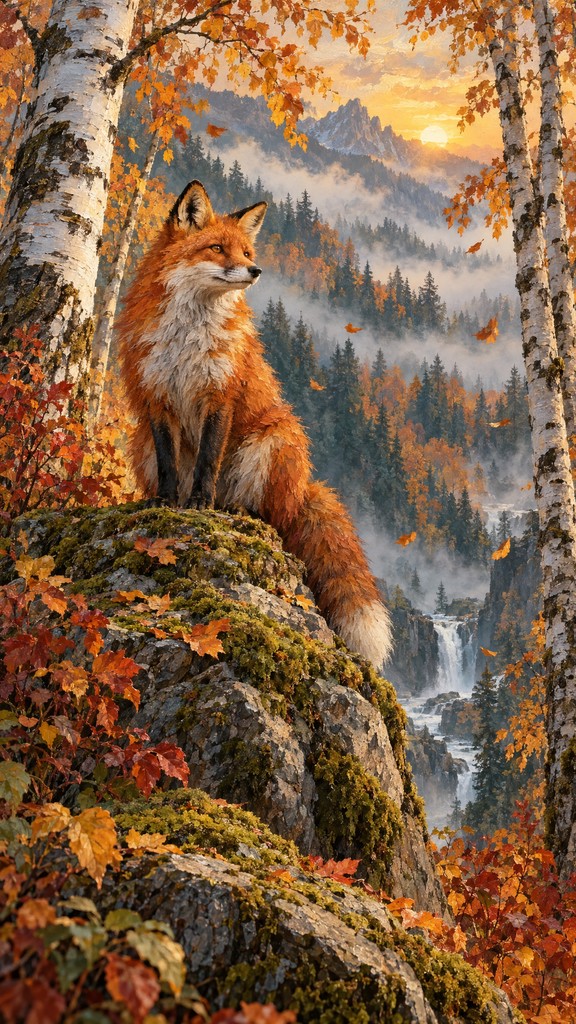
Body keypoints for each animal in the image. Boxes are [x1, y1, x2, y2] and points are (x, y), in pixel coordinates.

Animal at [118, 180, 393, 667]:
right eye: (217, 248)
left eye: (246, 251)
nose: (256, 270)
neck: (189, 332)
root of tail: (304, 491)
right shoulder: (158, 397)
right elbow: (172, 465)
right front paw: (168, 502)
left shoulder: (220, 395)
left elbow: (208, 460)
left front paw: (200, 505)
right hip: (140, 442)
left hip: (276, 436)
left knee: (270, 514)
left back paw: (235, 511)